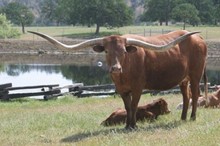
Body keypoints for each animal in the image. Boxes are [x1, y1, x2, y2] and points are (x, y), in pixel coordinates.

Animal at [28, 29, 207, 129]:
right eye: (106, 51)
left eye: (124, 51)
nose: (115, 68)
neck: (124, 72)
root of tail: (198, 39)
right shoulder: (121, 89)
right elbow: (127, 107)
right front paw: (127, 125)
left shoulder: (138, 88)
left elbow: (134, 106)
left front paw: (133, 125)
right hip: (183, 79)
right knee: (186, 96)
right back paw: (183, 118)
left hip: (195, 75)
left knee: (195, 94)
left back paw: (192, 117)